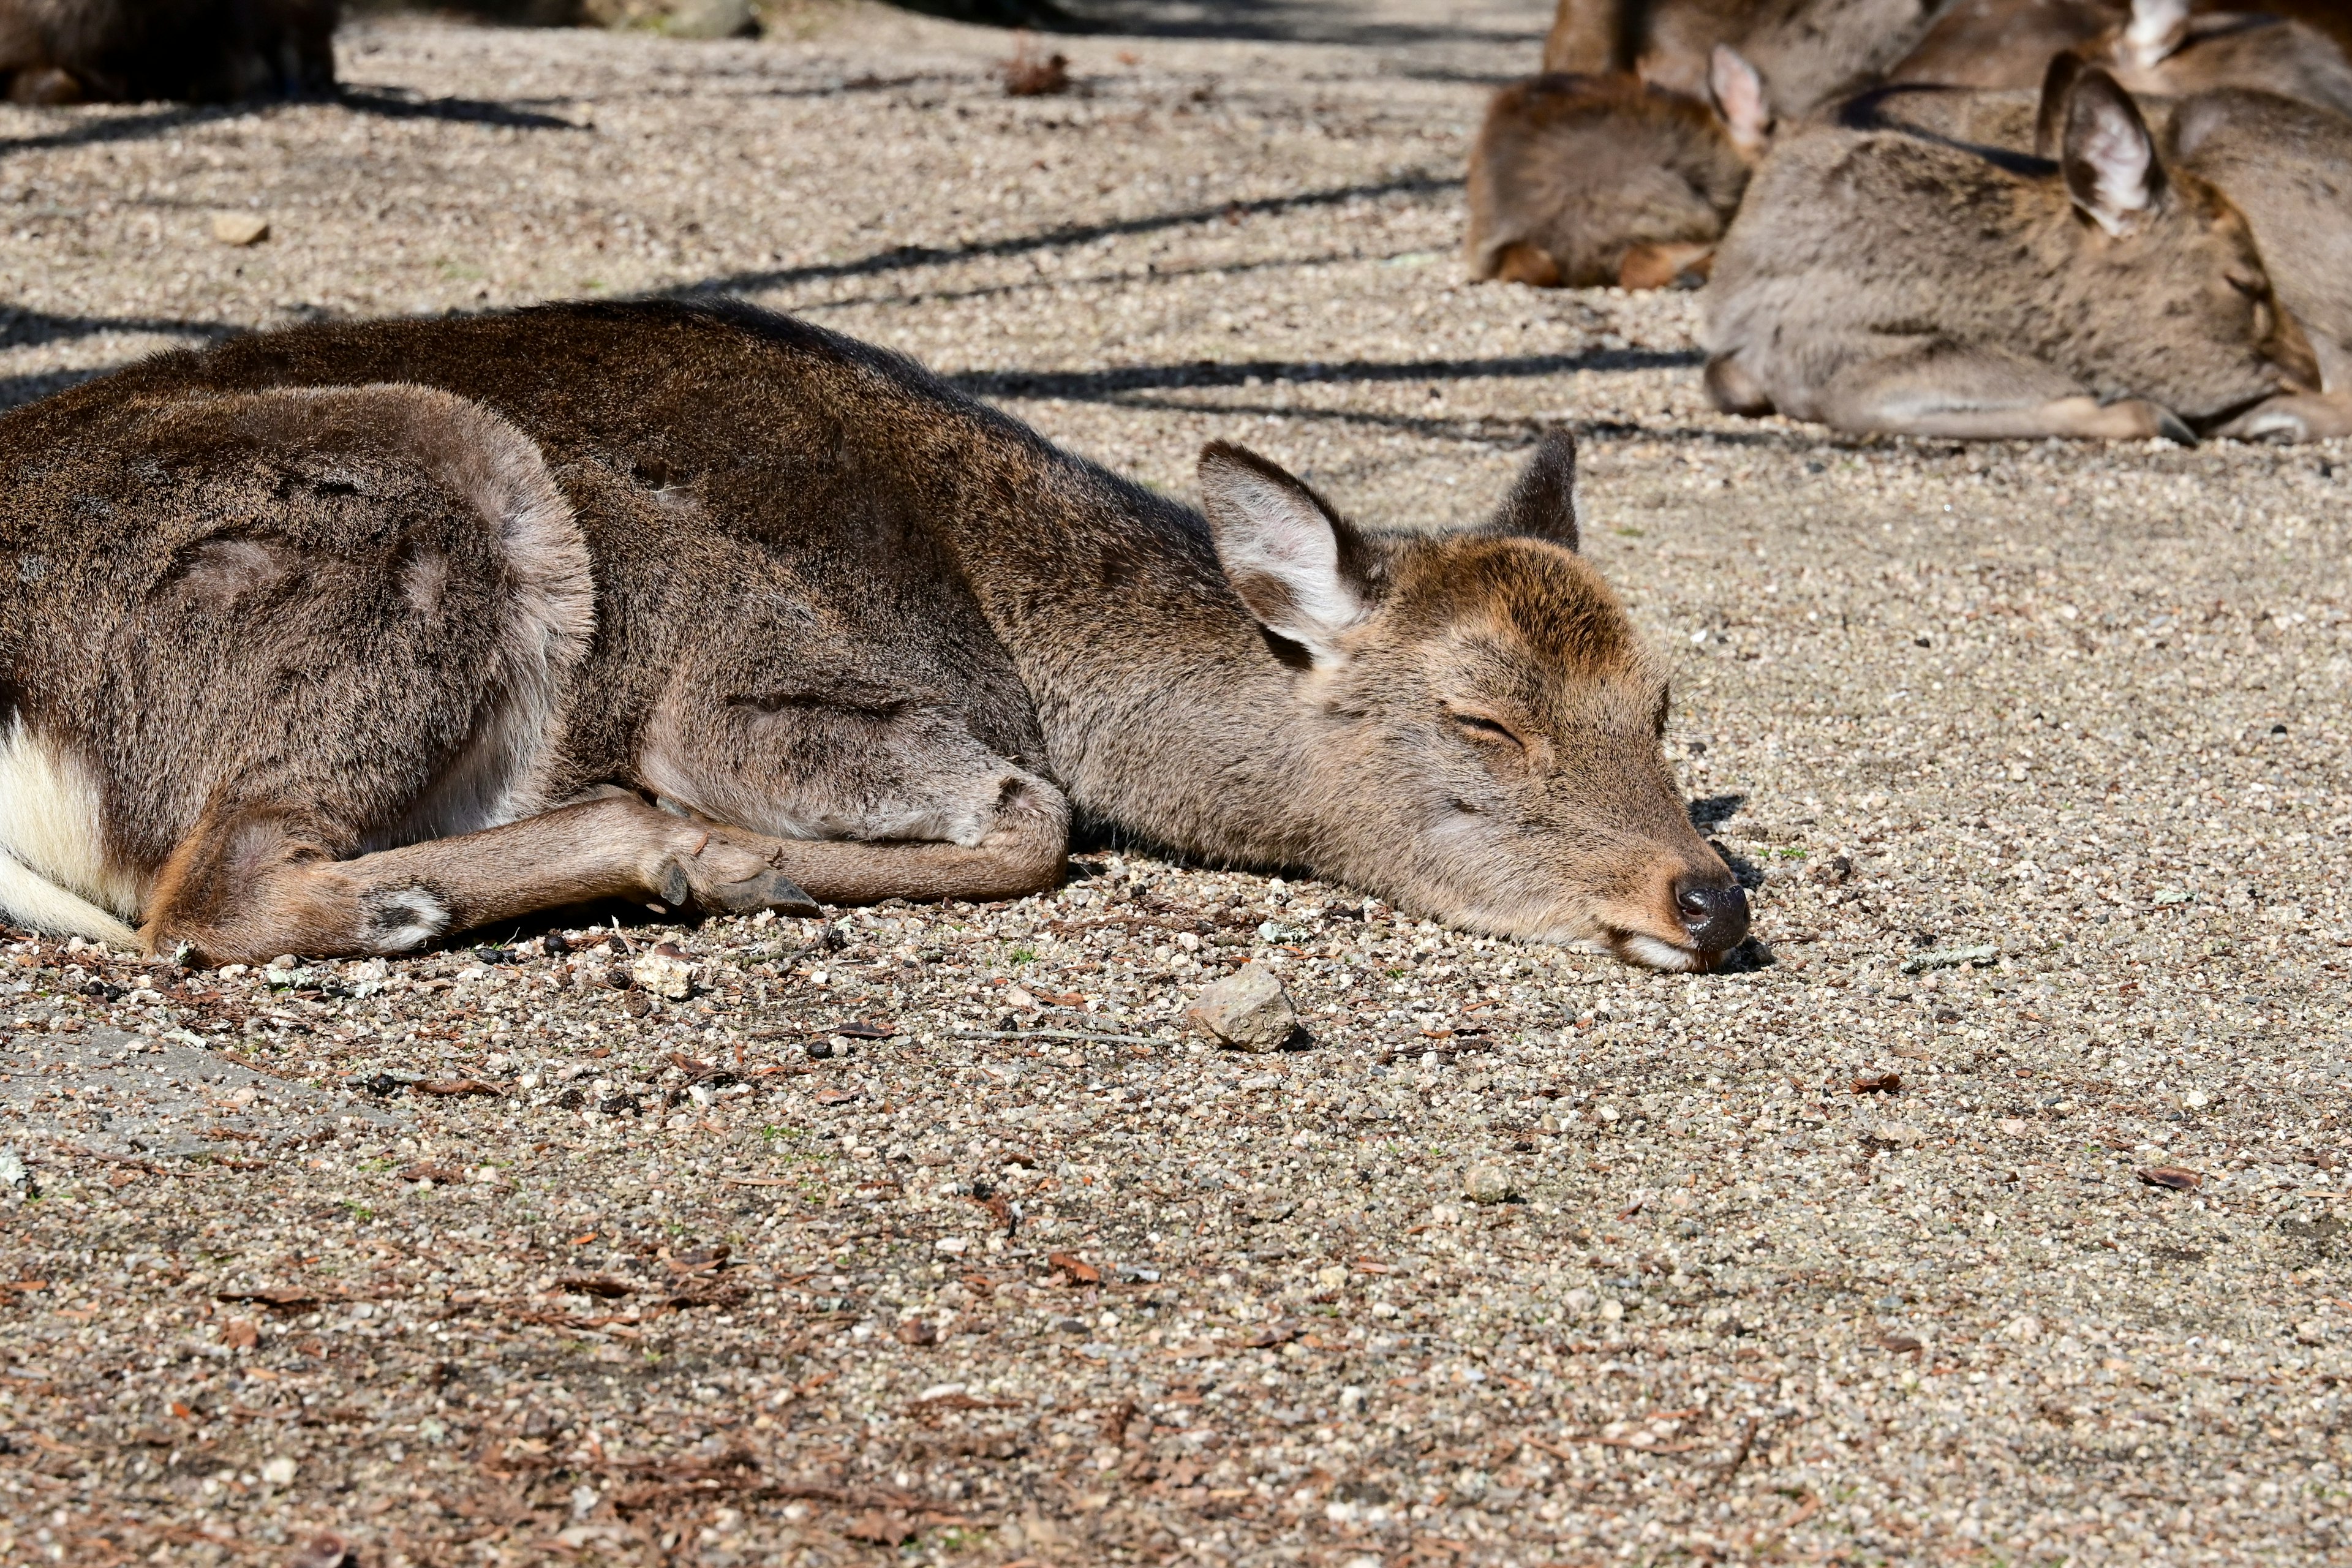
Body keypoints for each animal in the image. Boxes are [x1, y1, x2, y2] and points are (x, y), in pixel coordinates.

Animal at [0, 301, 1749, 973]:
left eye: (1663, 706)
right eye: (1481, 715)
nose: (1711, 896)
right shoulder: (736, 678)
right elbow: (1036, 817)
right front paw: (736, 857)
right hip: (453, 495)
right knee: (209, 890)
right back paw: (650, 852)